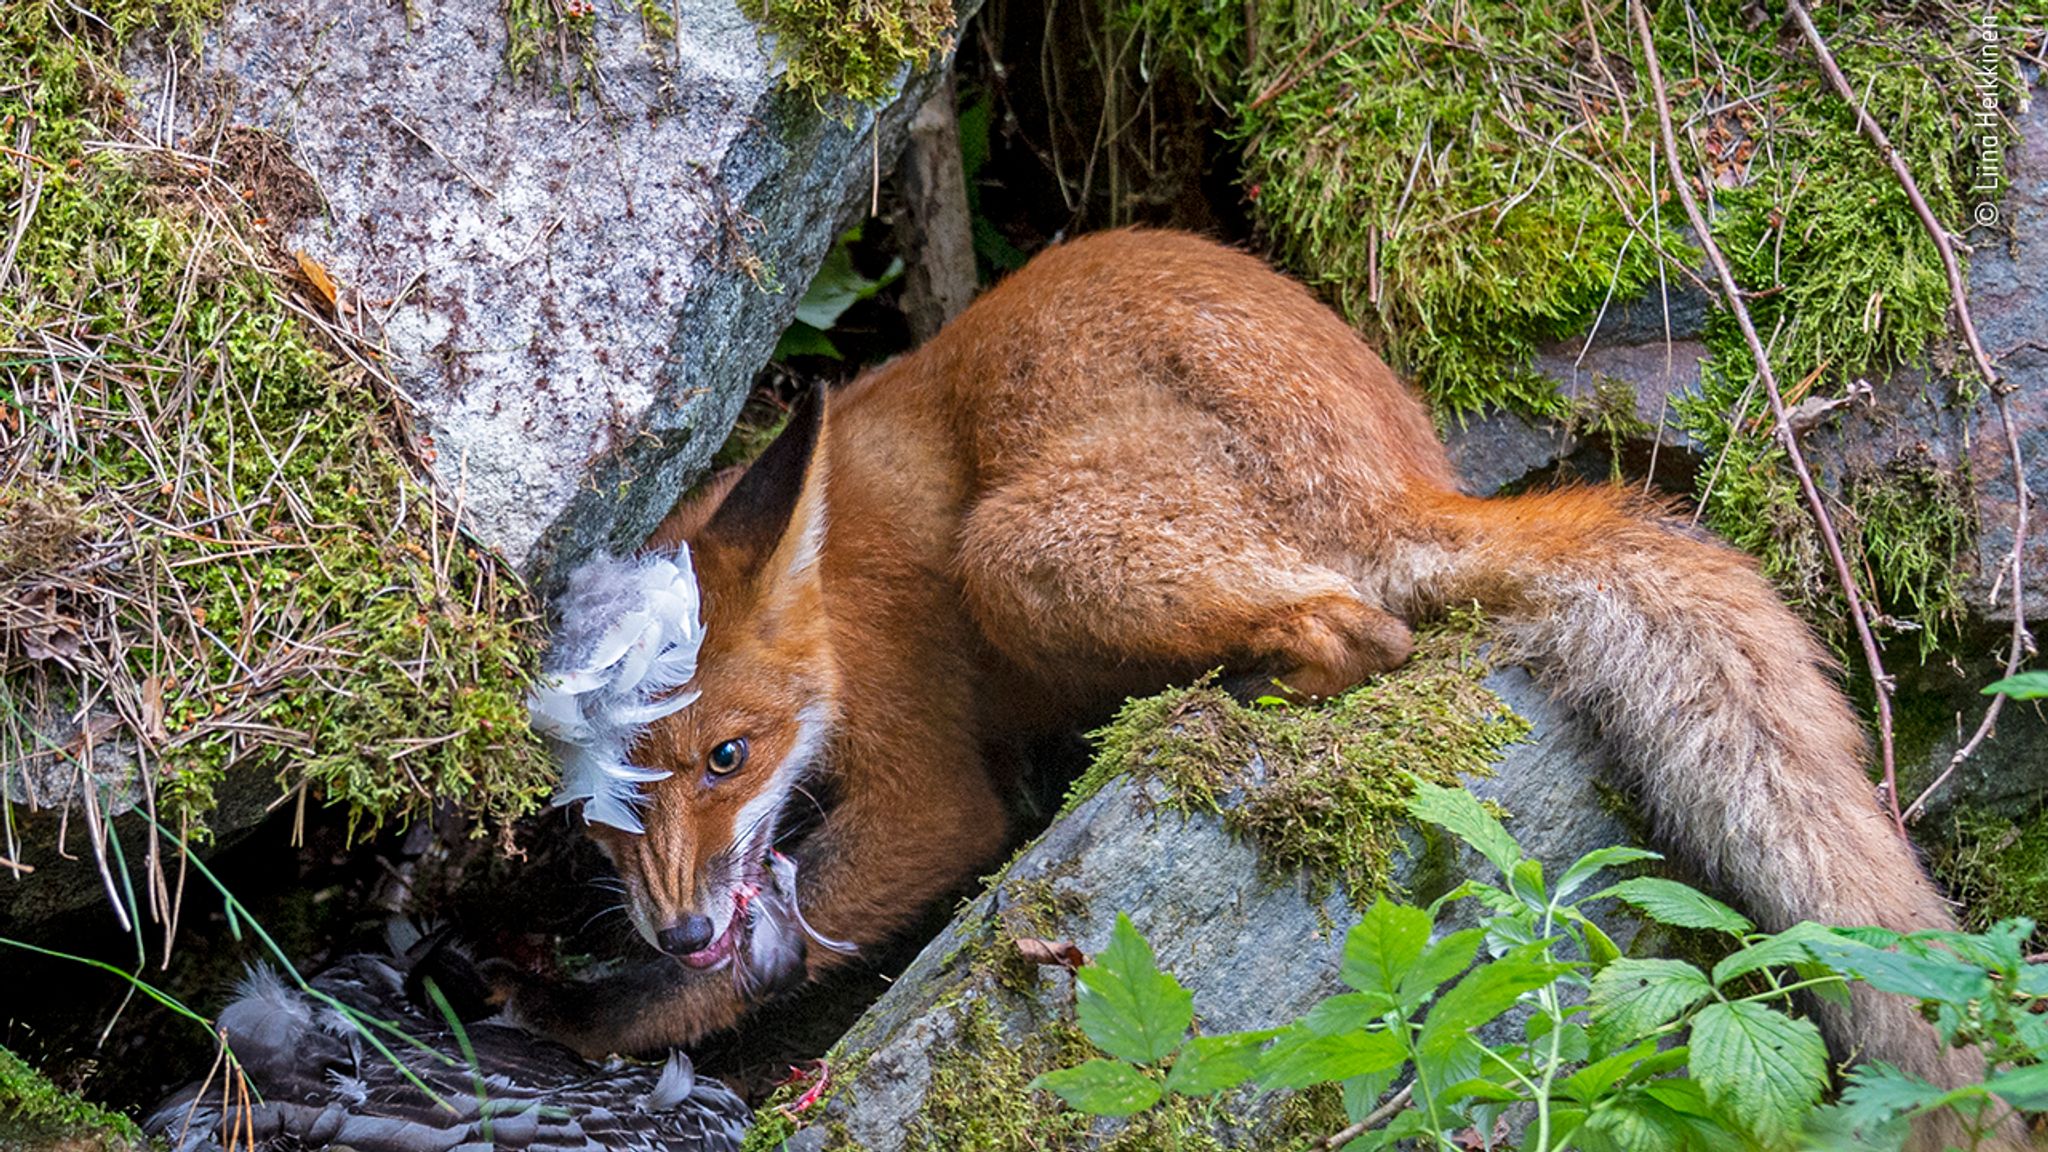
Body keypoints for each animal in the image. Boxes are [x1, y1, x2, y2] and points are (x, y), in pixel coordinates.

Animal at [507, 226, 1982, 1106]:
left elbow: (767, 948)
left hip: (1022, 548)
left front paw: (586, 1016)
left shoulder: (933, 787)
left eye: (729, 756)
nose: (677, 923)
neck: (843, 598)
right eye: (603, 808)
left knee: (1363, 631)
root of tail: (1409, 476)